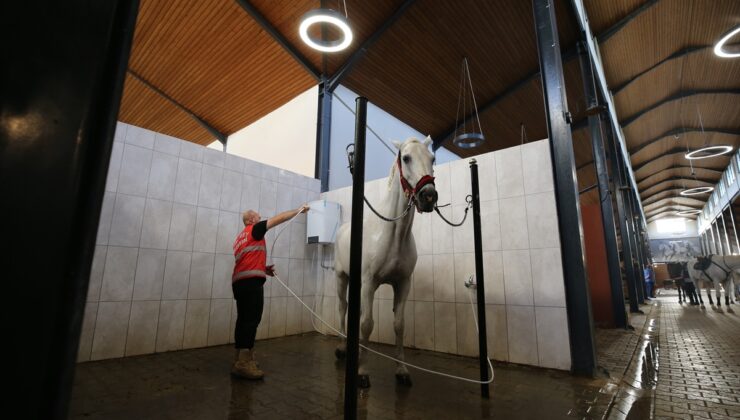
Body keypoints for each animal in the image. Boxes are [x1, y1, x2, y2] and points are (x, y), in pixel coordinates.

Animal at [336, 136, 440, 388]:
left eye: (433, 158)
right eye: (406, 158)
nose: (428, 196)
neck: (393, 234)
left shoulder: (402, 284)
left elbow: (399, 325)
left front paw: (402, 370)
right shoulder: (369, 282)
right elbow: (367, 323)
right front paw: (362, 372)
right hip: (341, 277)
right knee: (343, 308)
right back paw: (342, 348)